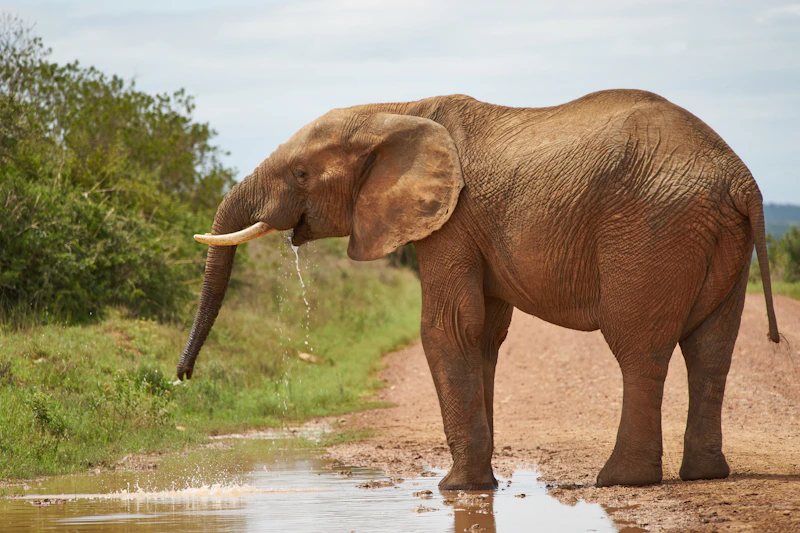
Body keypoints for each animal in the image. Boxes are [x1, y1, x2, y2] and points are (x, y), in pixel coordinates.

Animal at [176, 89, 780, 489]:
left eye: (301, 175)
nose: (182, 377)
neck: (397, 110)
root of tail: (741, 178)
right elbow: (484, 333)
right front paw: (480, 485)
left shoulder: (452, 221)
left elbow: (447, 328)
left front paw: (456, 488)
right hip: (717, 240)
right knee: (711, 351)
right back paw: (704, 474)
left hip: (651, 230)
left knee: (639, 348)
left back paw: (619, 481)